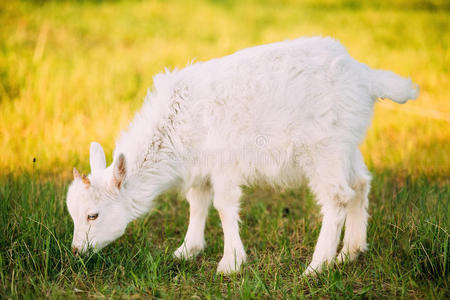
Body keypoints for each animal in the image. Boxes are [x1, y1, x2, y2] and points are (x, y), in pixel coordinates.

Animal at [67, 36, 418, 276]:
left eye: (93, 215)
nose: (76, 250)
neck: (175, 123)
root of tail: (365, 77)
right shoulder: (198, 168)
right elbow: (197, 203)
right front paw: (187, 250)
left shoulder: (224, 163)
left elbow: (223, 206)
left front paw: (230, 262)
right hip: (347, 143)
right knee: (360, 184)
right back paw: (351, 252)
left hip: (324, 149)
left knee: (337, 198)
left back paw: (317, 266)